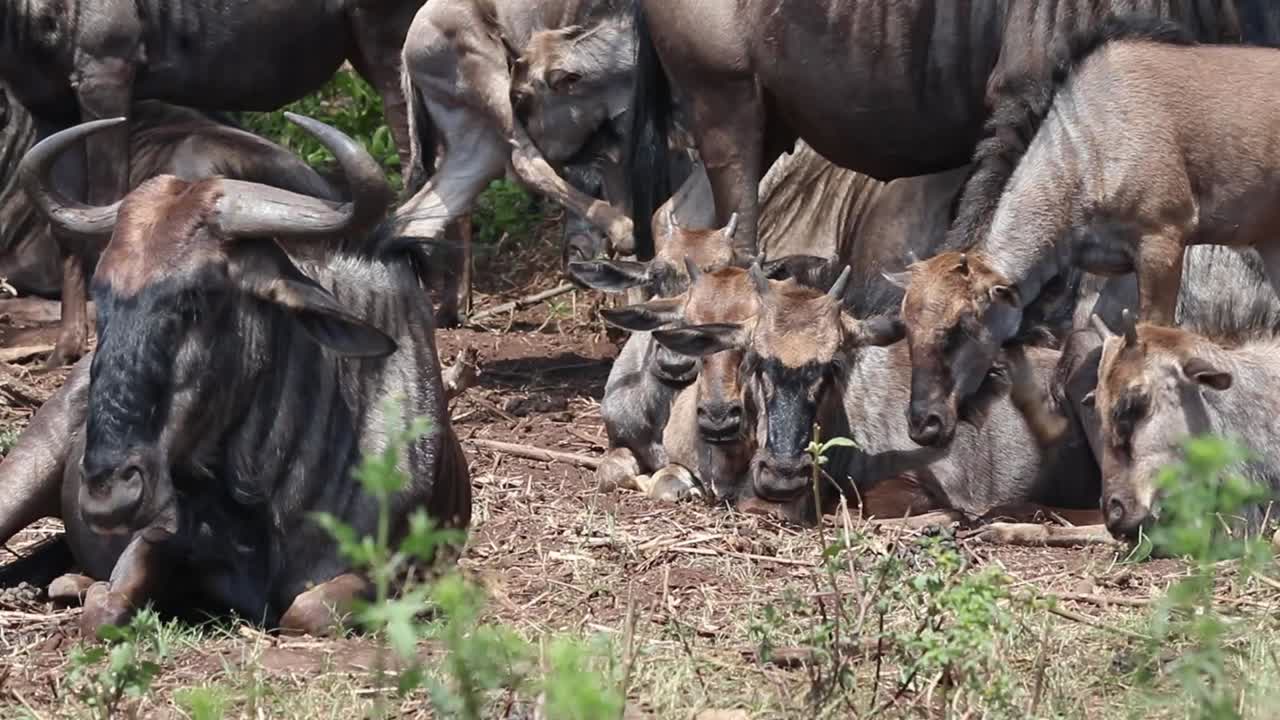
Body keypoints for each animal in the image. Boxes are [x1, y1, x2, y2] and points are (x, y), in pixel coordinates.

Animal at [0, 0, 423, 366]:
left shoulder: (105, 73)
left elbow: (102, 200)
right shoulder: (49, 107)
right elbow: (63, 216)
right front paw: (66, 348)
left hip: (385, 40)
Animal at [0, 114, 471, 637]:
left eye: (198, 296)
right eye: (101, 295)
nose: (109, 492)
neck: (264, 494)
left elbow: (305, 611)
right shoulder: (154, 539)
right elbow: (108, 608)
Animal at [896, 21, 1280, 449]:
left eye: (961, 326)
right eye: (906, 326)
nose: (924, 423)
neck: (1085, 143)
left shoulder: (1162, 243)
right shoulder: (1111, 273)